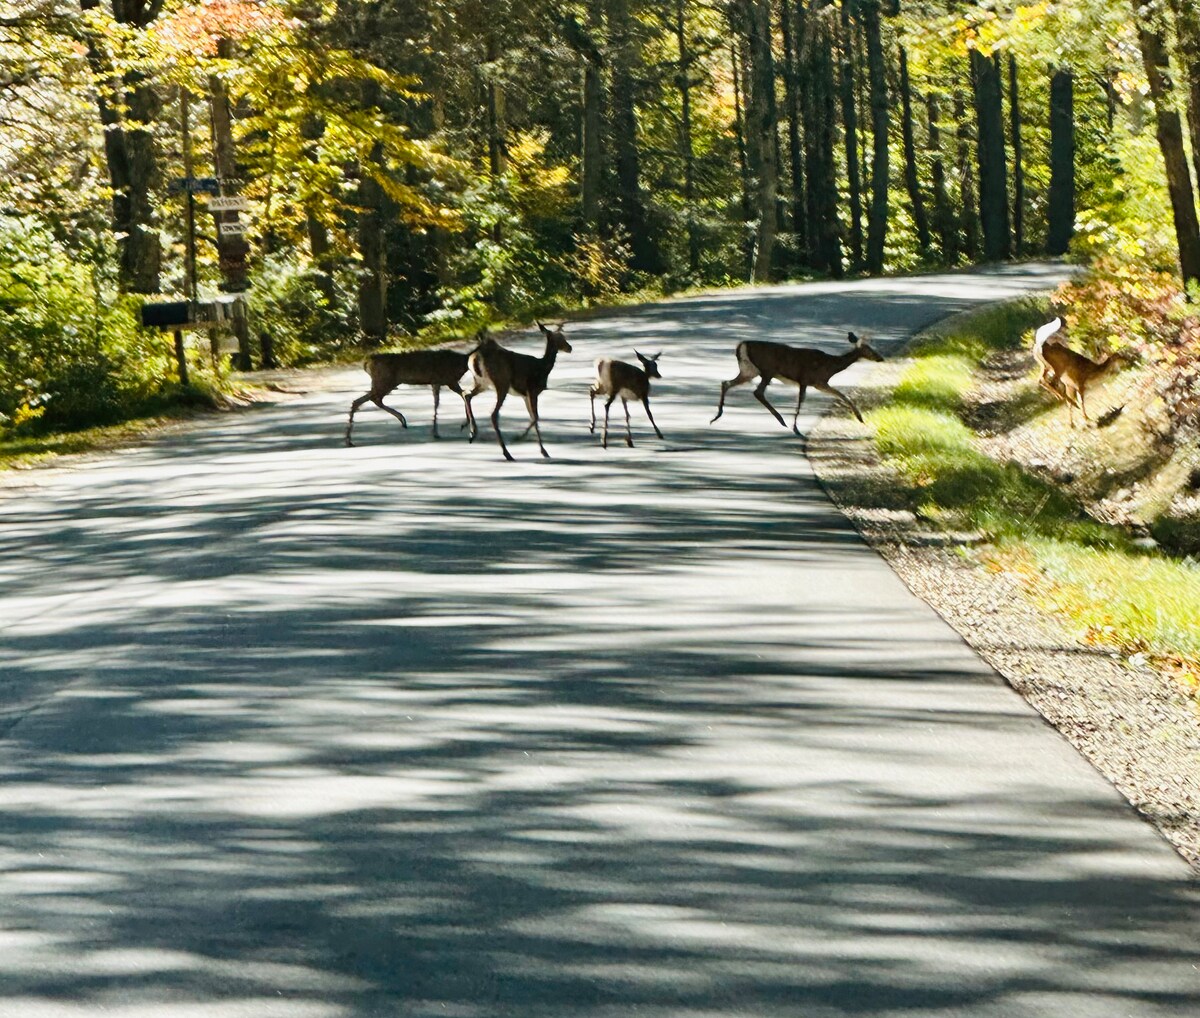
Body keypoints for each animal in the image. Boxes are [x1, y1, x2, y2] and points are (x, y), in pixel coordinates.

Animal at [343, 345, 477, 446]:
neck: (462, 363)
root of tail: (367, 362)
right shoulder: (450, 380)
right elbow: (463, 395)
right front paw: (468, 427)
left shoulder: (437, 382)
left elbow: (437, 402)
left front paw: (435, 432)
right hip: (385, 381)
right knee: (371, 399)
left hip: (383, 382)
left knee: (363, 400)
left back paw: (349, 440)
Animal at [463, 321, 571, 460]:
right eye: (560, 338)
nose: (570, 347)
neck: (543, 368)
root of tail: (476, 358)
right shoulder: (532, 390)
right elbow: (536, 417)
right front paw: (519, 437)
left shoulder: (525, 396)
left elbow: (533, 418)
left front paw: (543, 451)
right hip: (501, 383)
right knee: (493, 413)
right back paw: (506, 453)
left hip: (482, 383)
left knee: (467, 394)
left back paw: (473, 432)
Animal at [705, 331, 888, 432]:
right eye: (869, 349)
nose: (881, 358)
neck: (830, 365)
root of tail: (741, 345)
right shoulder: (807, 379)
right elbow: (801, 401)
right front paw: (796, 427)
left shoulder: (819, 383)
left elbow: (842, 395)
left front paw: (860, 418)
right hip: (767, 370)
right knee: (758, 392)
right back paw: (781, 420)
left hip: (749, 370)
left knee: (726, 383)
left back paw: (717, 416)